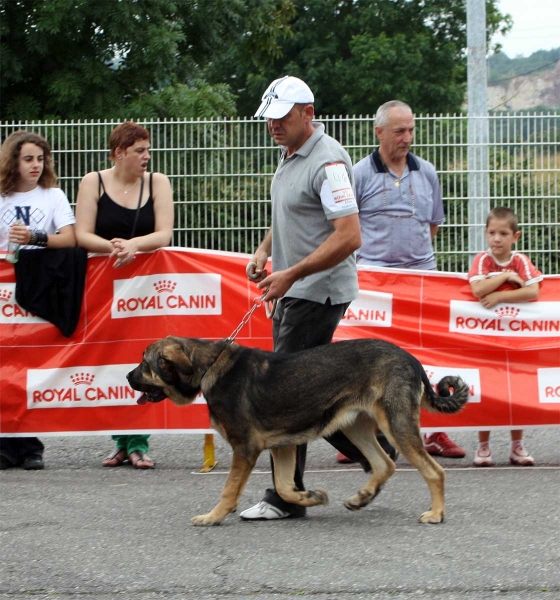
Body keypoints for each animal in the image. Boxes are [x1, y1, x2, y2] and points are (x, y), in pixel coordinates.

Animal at [127, 336, 468, 528]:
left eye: (145, 363)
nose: (128, 377)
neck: (210, 365)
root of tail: (411, 358)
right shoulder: (283, 445)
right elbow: (285, 486)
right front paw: (311, 497)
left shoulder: (245, 448)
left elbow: (229, 490)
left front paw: (213, 517)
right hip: (355, 425)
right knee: (384, 463)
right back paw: (361, 498)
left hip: (395, 423)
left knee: (433, 471)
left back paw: (436, 514)